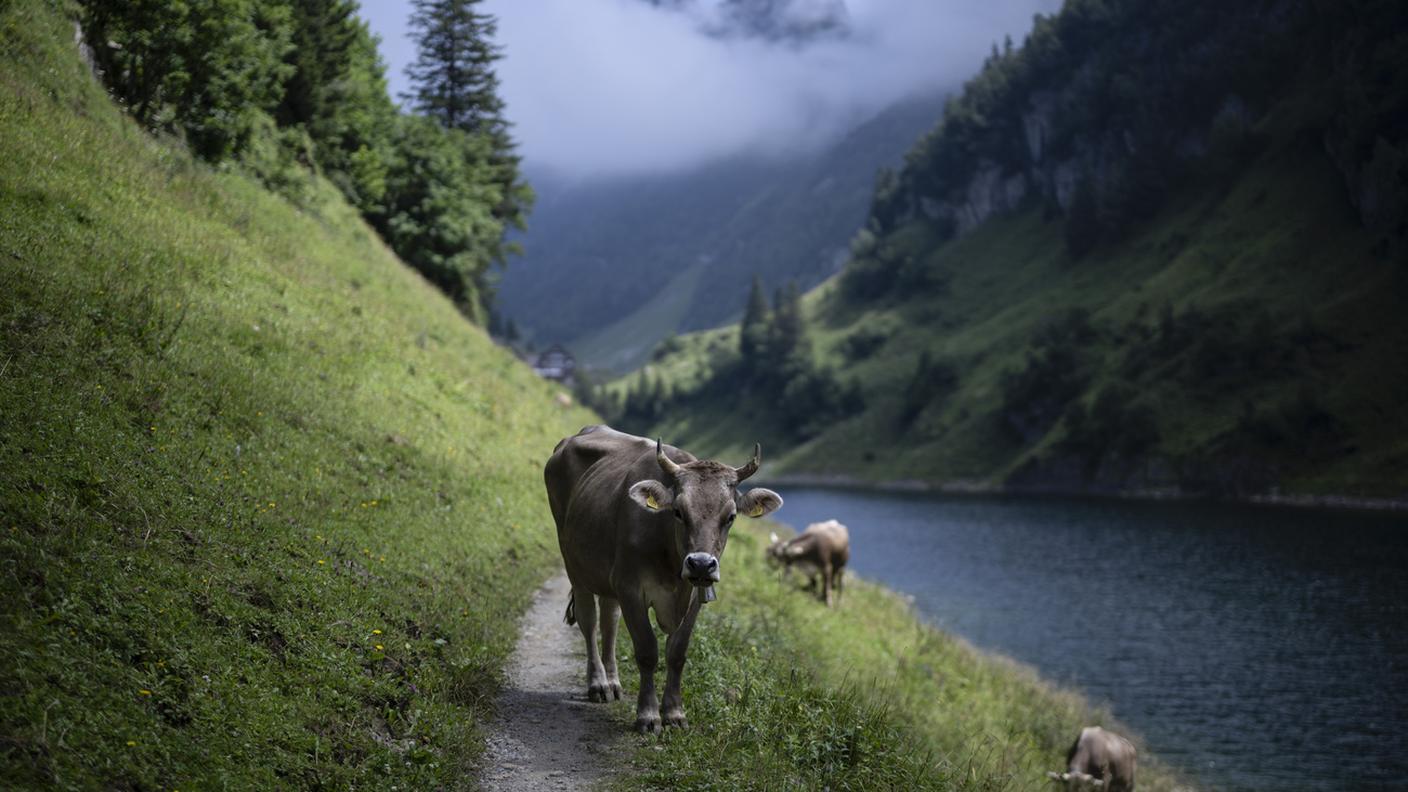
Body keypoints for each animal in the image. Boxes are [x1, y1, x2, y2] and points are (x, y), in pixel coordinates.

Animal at [544, 425, 783, 733]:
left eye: (730, 516)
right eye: (678, 511)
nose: (701, 564)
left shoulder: (693, 597)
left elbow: (677, 653)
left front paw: (674, 713)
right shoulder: (631, 588)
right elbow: (647, 651)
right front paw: (648, 715)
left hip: (609, 578)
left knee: (609, 621)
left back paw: (613, 682)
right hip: (574, 565)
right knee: (589, 620)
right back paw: (598, 684)